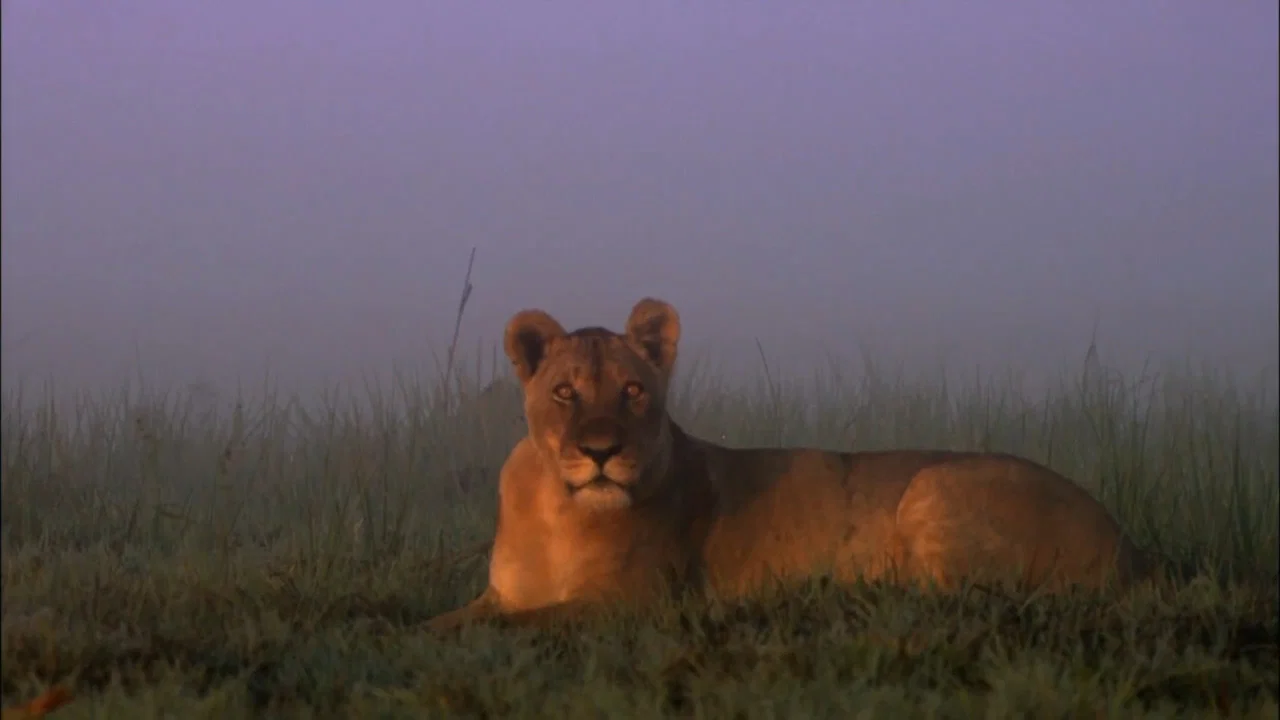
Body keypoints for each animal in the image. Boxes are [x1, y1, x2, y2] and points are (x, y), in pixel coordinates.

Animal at [425, 298, 1157, 632]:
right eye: (564, 393)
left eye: (632, 391)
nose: (601, 451)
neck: (559, 509)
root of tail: (1130, 548)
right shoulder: (501, 591)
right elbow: (450, 620)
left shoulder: (635, 601)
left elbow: (521, 622)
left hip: (932, 483)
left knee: (955, 600)